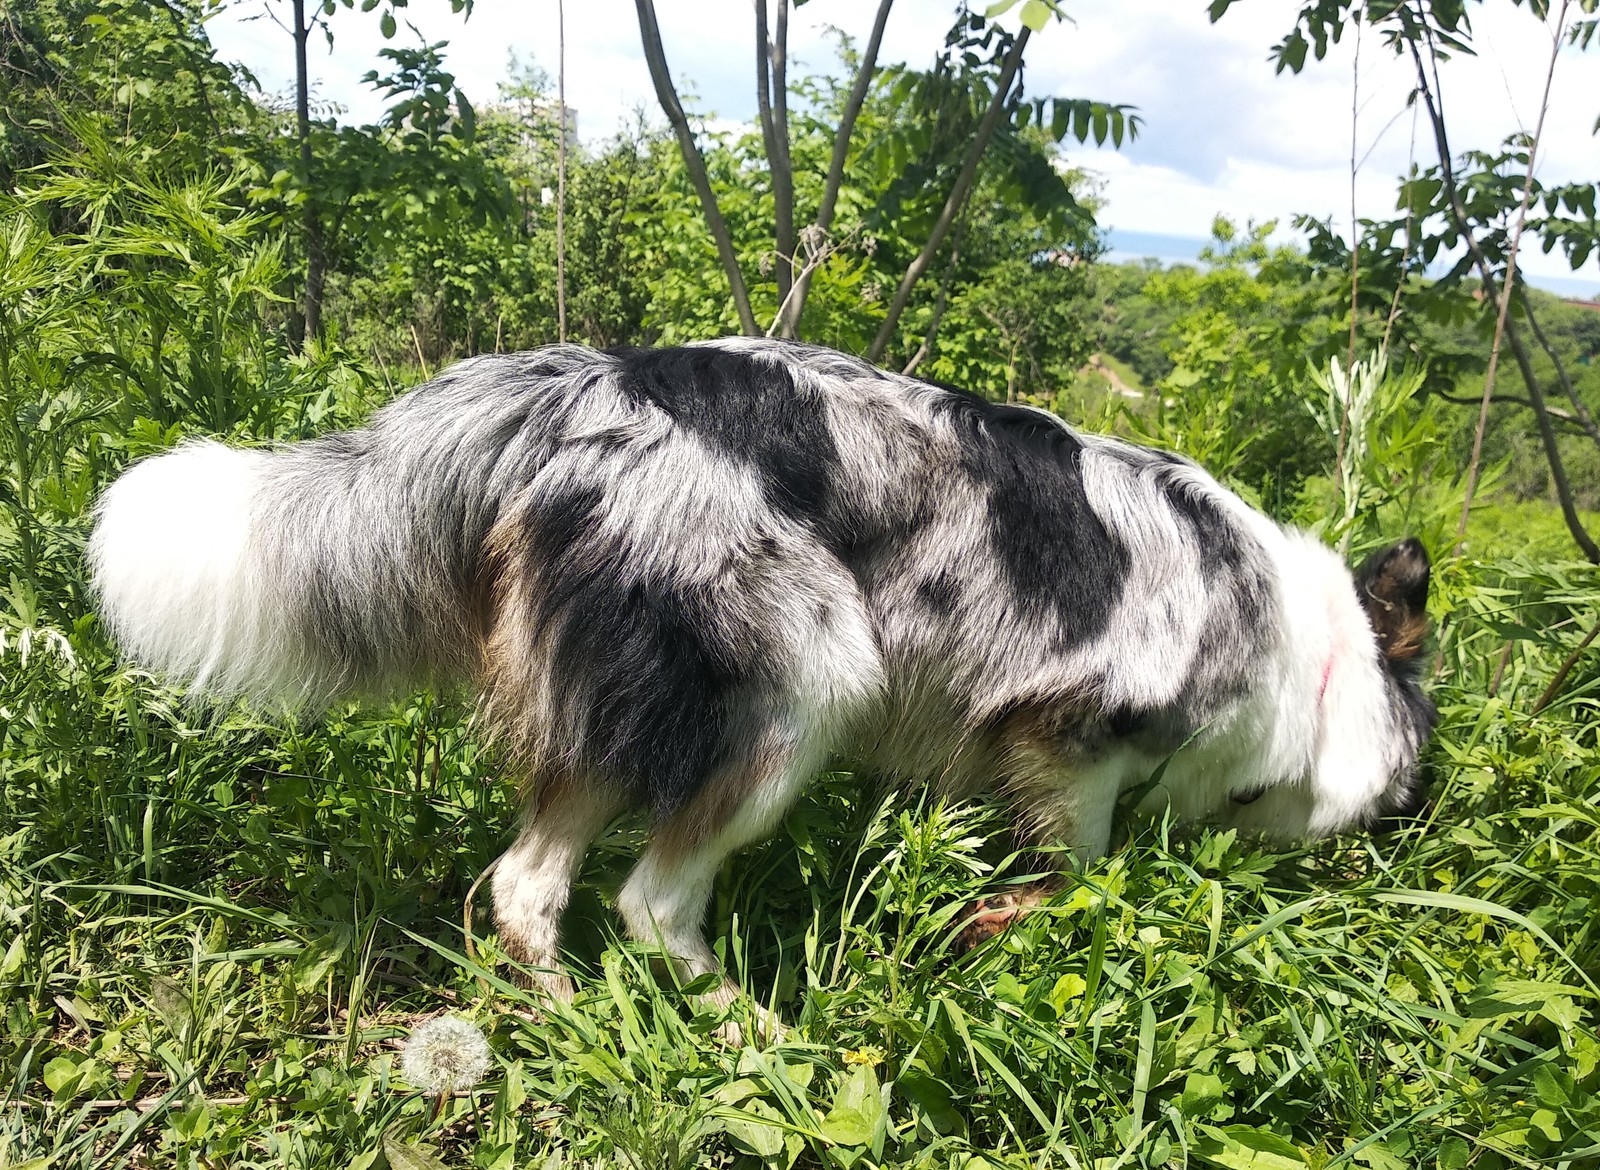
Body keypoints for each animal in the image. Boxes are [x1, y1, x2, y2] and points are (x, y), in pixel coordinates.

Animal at [90, 339, 1440, 1005]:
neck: (1315, 661)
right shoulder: (1076, 745)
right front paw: (1011, 928)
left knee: (527, 883)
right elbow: (1080, 872)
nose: (1417, 834)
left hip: (624, 712)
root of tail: (580, 383)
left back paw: (561, 1018)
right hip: (802, 692)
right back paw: (749, 1029)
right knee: (648, 905)